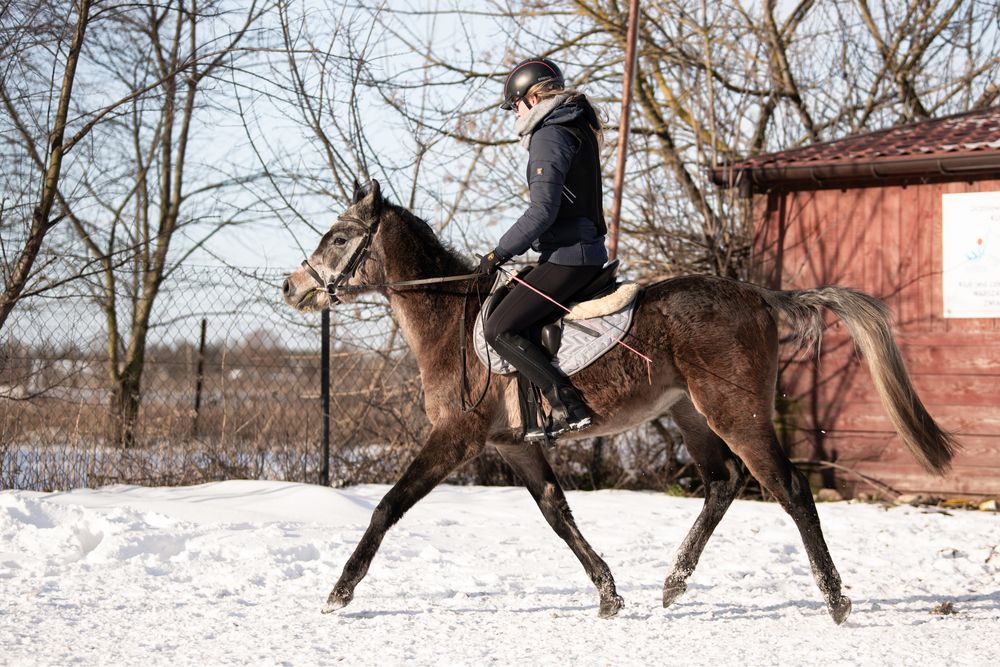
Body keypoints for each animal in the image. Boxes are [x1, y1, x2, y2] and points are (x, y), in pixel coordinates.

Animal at [284, 180, 960, 624]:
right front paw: (609, 593)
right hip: (690, 414)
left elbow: (387, 508)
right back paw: (674, 584)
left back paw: (835, 600)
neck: (451, 317)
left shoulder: (456, 437)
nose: (290, 288)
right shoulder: (514, 446)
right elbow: (558, 515)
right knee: (722, 485)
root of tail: (758, 295)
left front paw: (340, 592)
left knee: (789, 489)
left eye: (339, 237)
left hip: (734, 412)